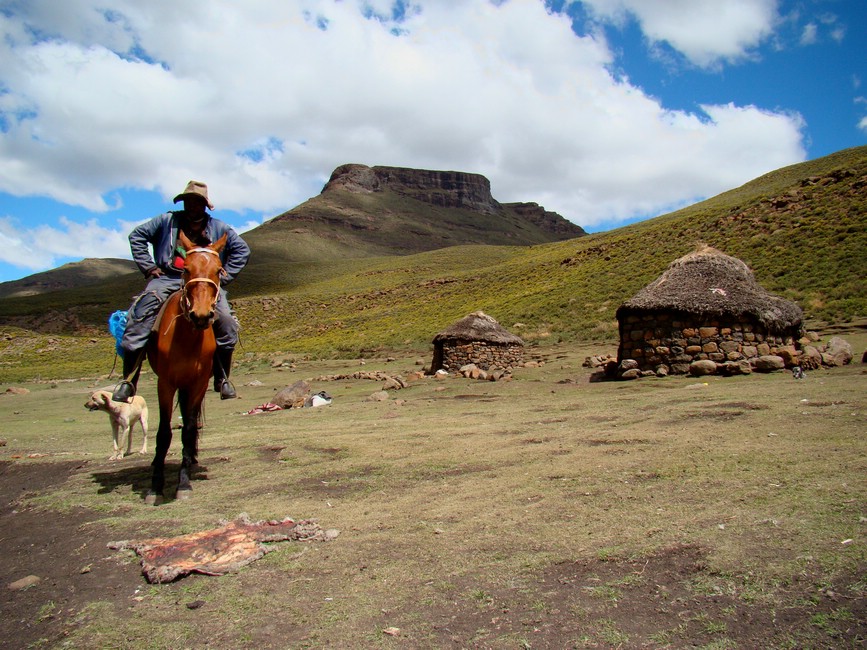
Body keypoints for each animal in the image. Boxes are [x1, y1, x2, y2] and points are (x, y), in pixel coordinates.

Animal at [146, 230, 229, 504]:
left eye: (219, 270)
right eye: (186, 269)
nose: (201, 315)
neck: (186, 337)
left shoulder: (197, 383)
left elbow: (189, 428)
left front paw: (183, 484)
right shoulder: (165, 383)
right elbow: (164, 433)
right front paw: (155, 487)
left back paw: (191, 458)